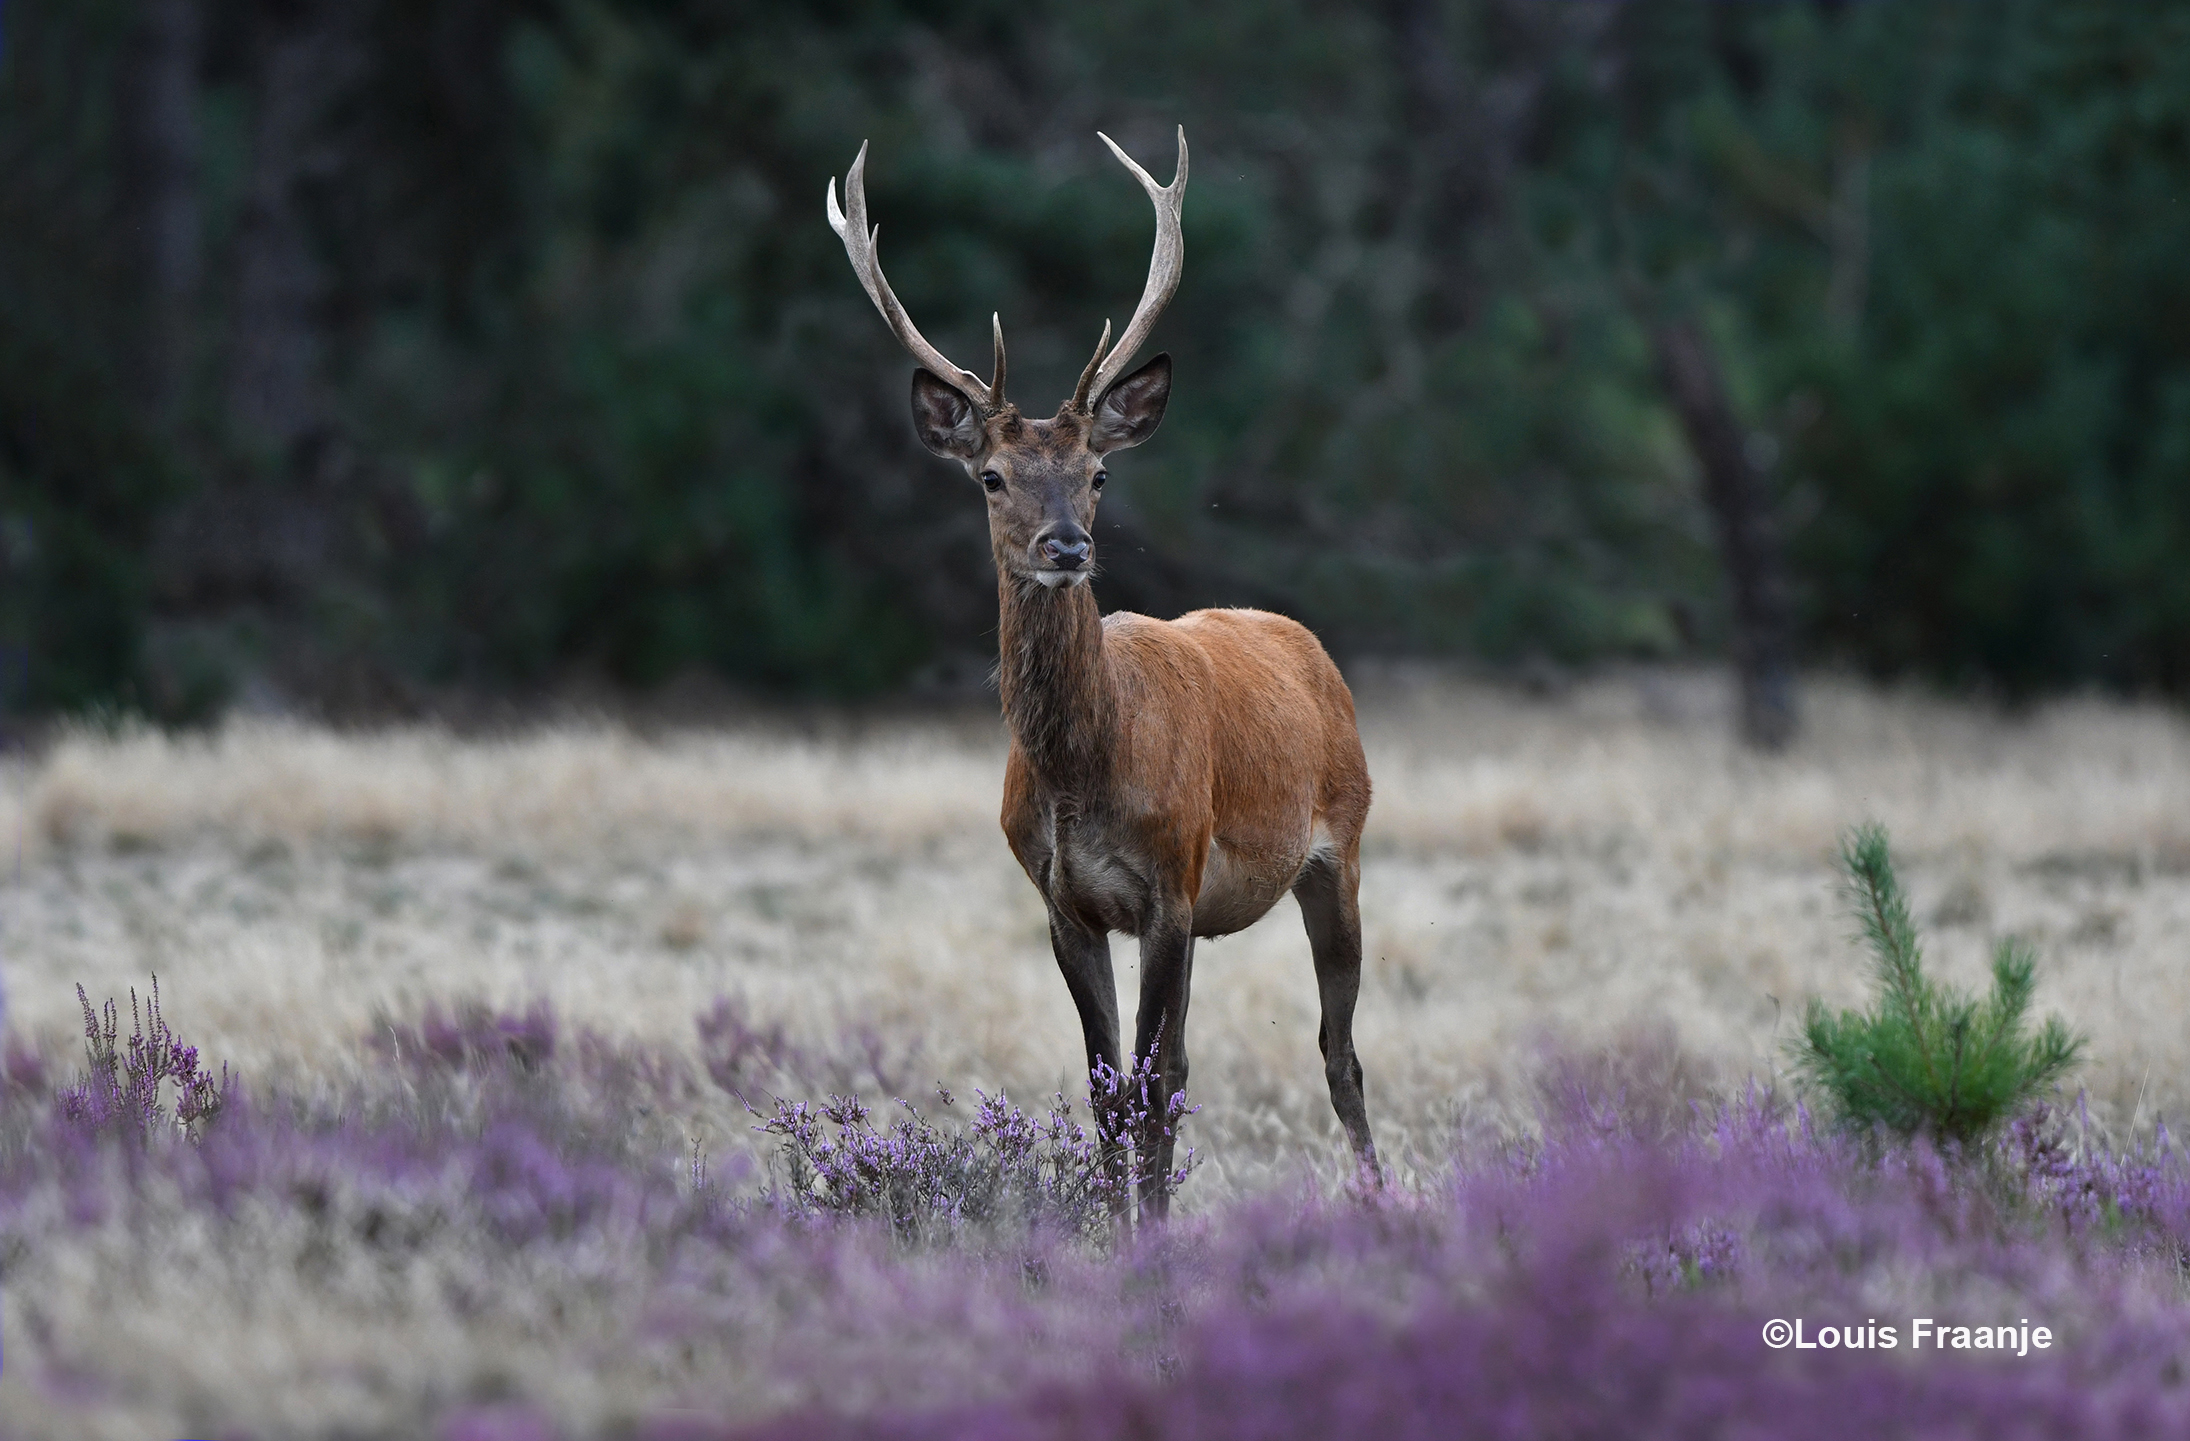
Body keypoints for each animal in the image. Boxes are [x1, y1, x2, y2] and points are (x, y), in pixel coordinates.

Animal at [827, 126, 1375, 1208]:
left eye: (1099, 472)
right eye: (991, 476)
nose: (1067, 547)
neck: (1087, 771)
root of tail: (1306, 644)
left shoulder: (1171, 883)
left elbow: (1152, 1089)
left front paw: (1150, 1232)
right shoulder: (1061, 901)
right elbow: (1109, 1089)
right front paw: (1117, 1224)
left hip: (1344, 846)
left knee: (1340, 1054)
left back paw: (1384, 1203)